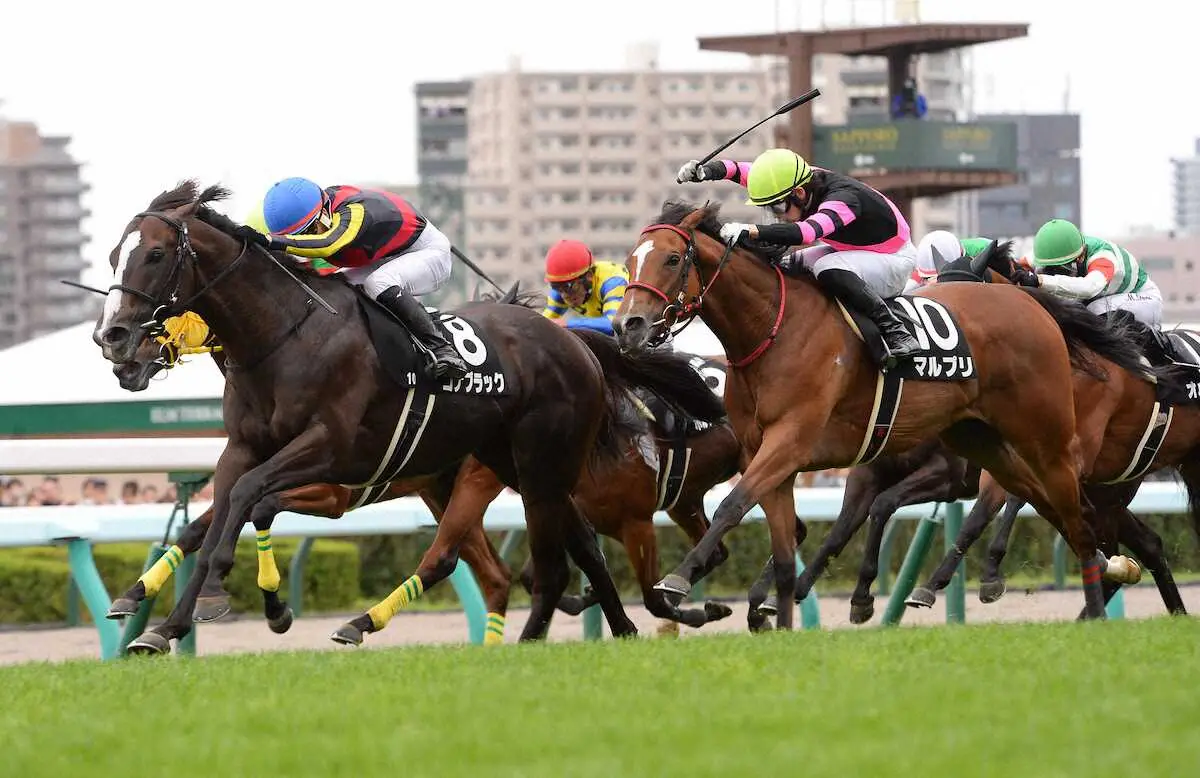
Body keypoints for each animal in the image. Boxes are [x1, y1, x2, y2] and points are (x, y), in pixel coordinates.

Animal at [614, 200, 1166, 624]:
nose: (628, 325)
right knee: (1062, 510)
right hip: (990, 445)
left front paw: (678, 578)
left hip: (1044, 438)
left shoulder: (792, 441)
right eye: (629, 261)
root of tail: (1033, 307)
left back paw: (1091, 600)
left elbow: (734, 505)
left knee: (1065, 513)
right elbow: (794, 544)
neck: (774, 329)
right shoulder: (777, 456)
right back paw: (1106, 573)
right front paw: (774, 612)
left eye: (671, 260)